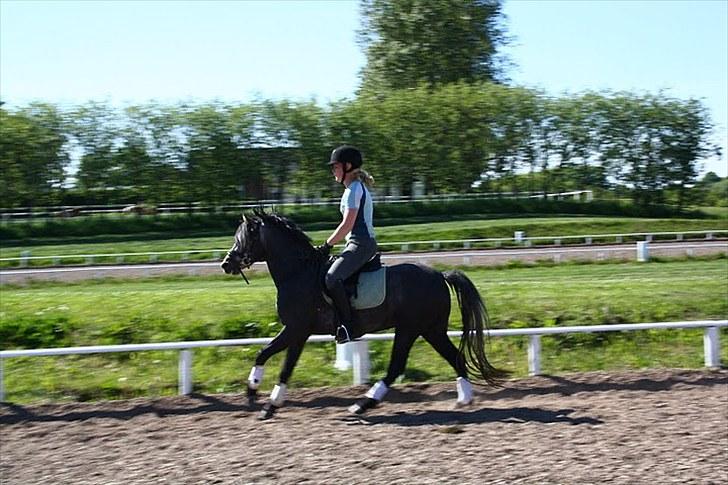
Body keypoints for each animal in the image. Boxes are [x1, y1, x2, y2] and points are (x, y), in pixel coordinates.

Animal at [221, 209, 508, 419]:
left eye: (245, 237)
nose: (226, 264)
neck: (298, 273)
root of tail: (439, 275)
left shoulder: (297, 330)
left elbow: (279, 363)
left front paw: (265, 401)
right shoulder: (297, 333)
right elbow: (268, 356)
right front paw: (256, 394)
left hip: (410, 329)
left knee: (396, 366)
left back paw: (363, 404)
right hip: (431, 329)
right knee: (454, 357)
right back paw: (464, 400)